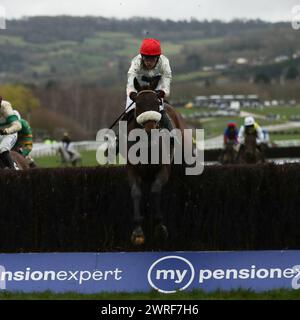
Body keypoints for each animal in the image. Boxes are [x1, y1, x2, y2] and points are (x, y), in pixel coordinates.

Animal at [123, 78, 191, 248]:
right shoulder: (132, 169)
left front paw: (160, 227)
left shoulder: (163, 169)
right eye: (138, 104)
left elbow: (155, 190)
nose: (150, 130)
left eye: (156, 103)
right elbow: (136, 192)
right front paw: (138, 232)